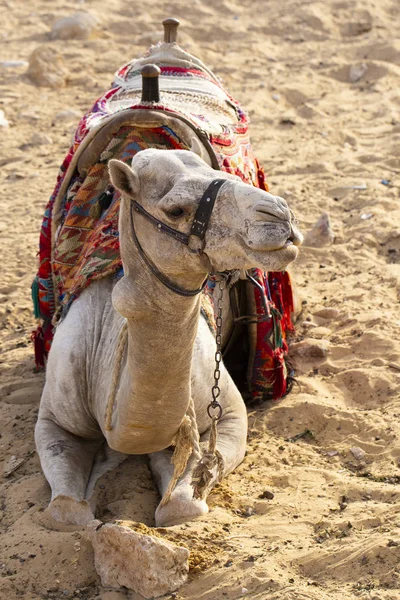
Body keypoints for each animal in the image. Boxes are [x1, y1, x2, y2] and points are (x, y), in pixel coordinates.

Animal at [34, 148, 302, 528]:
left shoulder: (231, 416)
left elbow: (181, 504)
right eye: (175, 210)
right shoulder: (53, 419)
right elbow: (64, 511)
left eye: (222, 174)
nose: (280, 215)